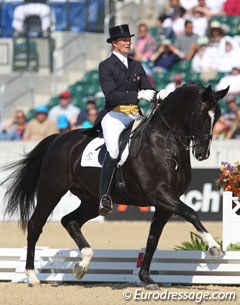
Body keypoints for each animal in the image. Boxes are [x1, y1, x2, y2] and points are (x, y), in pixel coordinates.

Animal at [0, 82, 229, 288]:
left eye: (217, 116)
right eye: (201, 114)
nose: (202, 153)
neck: (164, 143)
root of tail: (59, 138)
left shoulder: (165, 204)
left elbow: (153, 239)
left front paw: (147, 279)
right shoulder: (160, 194)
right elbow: (191, 213)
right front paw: (214, 247)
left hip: (91, 200)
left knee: (70, 221)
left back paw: (82, 265)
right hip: (52, 190)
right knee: (35, 224)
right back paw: (32, 275)